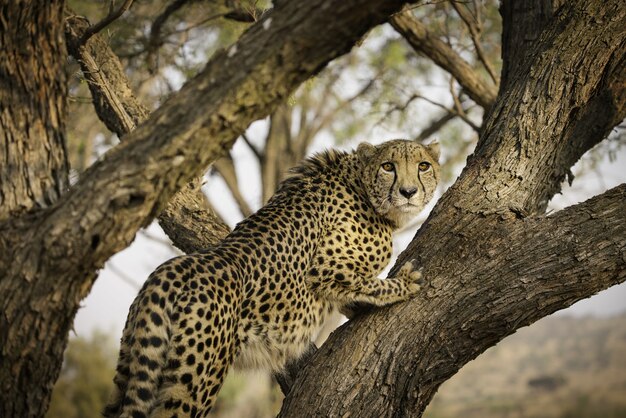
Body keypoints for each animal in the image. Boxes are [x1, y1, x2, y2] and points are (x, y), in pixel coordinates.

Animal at [103, 140, 438, 418]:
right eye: (388, 166)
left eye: (423, 165)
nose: (408, 192)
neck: (361, 183)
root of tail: (167, 270)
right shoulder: (324, 267)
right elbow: (365, 283)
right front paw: (405, 284)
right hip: (195, 380)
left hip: (131, 365)